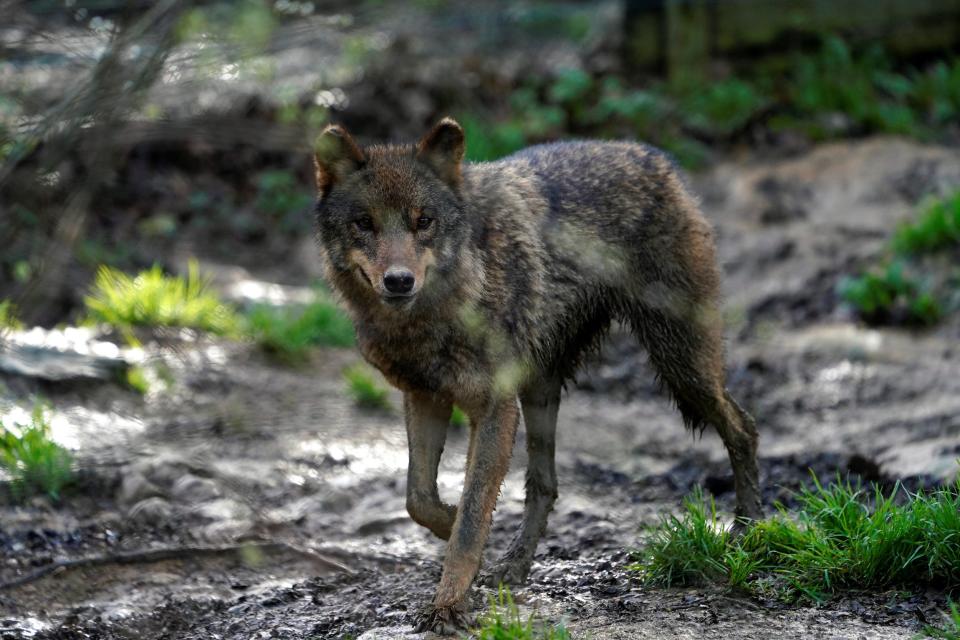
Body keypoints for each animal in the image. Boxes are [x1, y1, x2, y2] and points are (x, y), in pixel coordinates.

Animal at [316, 117, 764, 632]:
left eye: (423, 220)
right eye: (364, 223)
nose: (399, 281)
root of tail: (653, 156)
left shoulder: (494, 407)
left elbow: (472, 516)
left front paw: (448, 605)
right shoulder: (426, 397)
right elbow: (420, 499)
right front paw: (455, 531)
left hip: (681, 365)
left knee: (744, 427)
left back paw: (748, 529)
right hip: (541, 389)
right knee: (544, 485)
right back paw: (514, 564)